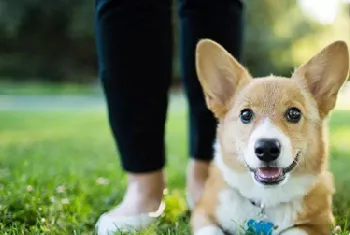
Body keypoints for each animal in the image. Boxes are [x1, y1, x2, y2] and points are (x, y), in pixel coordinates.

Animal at [193, 39, 348, 235]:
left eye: (294, 113)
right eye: (245, 114)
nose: (266, 149)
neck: (266, 198)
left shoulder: (320, 223)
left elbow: (293, 231)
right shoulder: (202, 211)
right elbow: (211, 230)